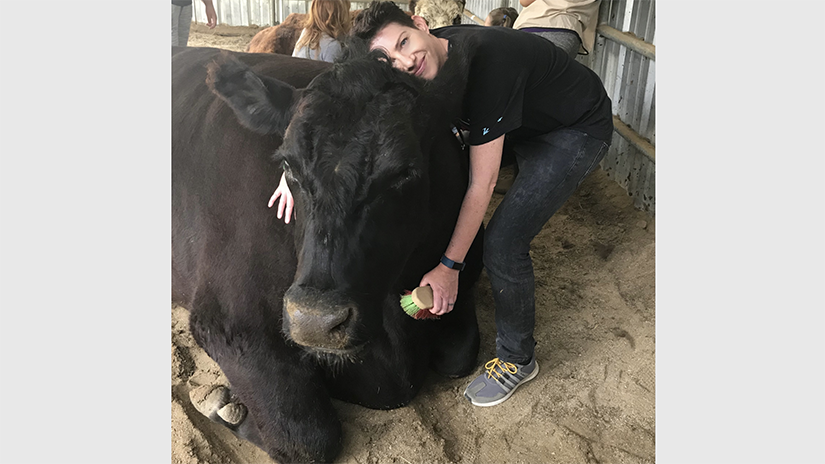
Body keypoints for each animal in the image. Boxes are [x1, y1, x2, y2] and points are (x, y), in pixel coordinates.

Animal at [172, 45, 482, 462]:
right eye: (287, 165)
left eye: (404, 173)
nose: (314, 321)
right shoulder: (229, 320)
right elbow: (307, 436)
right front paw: (226, 405)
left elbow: (458, 354)